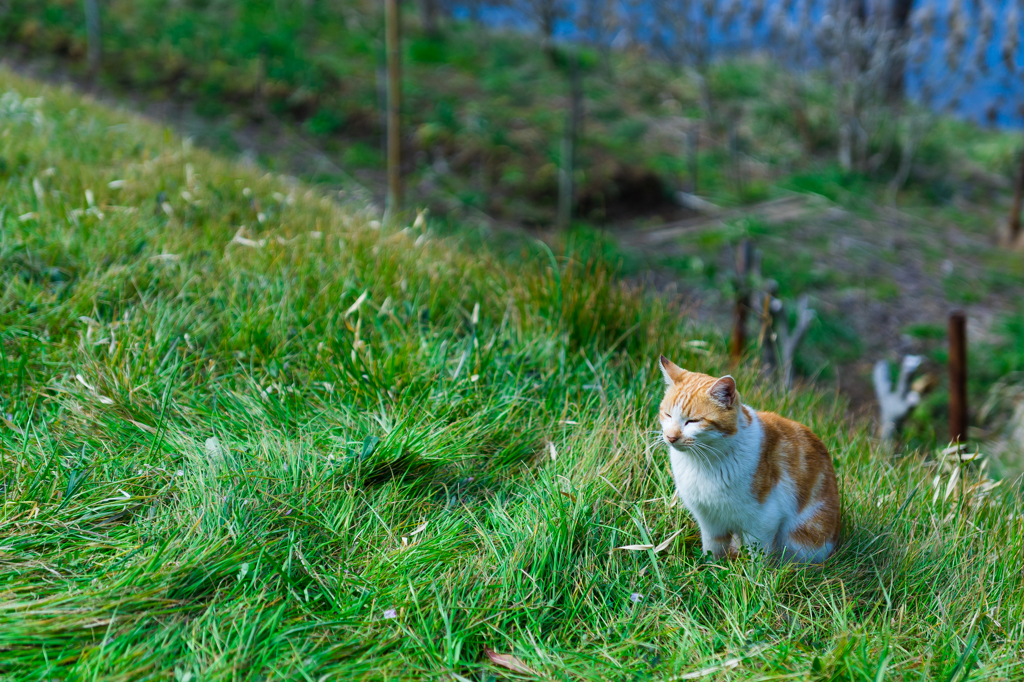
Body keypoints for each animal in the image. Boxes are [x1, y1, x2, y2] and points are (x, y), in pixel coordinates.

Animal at [659, 352, 835, 561]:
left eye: (693, 421)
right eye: (668, 415)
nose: (671, 437)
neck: (703, 461)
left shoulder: (763, 521)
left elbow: (757, 559)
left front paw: (751, 569)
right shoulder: (710, 521)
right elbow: (713, 549)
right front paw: (711, 566)